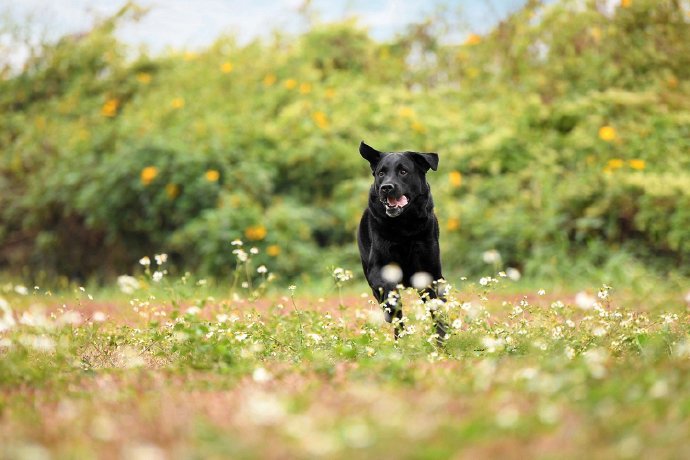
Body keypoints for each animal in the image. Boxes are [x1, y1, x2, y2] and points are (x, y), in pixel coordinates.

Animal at [354, 140, 446, 338]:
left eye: (403, 171)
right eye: (381, 173)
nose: (386, 187)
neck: (404, 227)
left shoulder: (431, 274)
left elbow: (438, 311)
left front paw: (442, 340)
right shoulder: (377, 269)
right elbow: (389, 290)